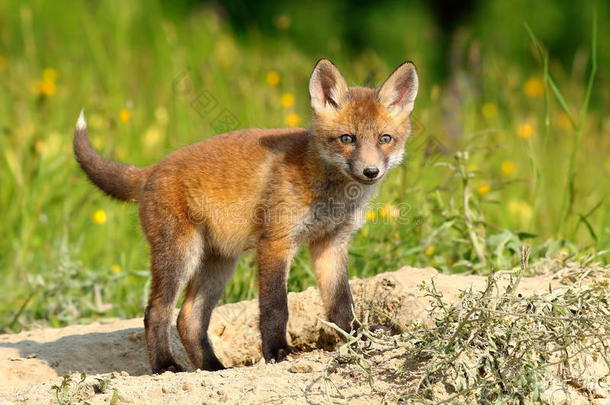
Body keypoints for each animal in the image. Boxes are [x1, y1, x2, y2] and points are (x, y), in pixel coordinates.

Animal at [73, 59, 416, 372]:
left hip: (219, 262)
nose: (370, 172)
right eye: (347, 139)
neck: (328, 189)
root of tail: (151, 169)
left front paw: (359, 339)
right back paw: (164, 366)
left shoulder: (331, 243)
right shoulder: (276, 242)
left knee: (188, 319)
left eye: (385, 139)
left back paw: (213, 368)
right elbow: (276, 307)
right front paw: (277, 351)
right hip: (181, 256)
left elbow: (341, 303)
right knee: (156, 312)